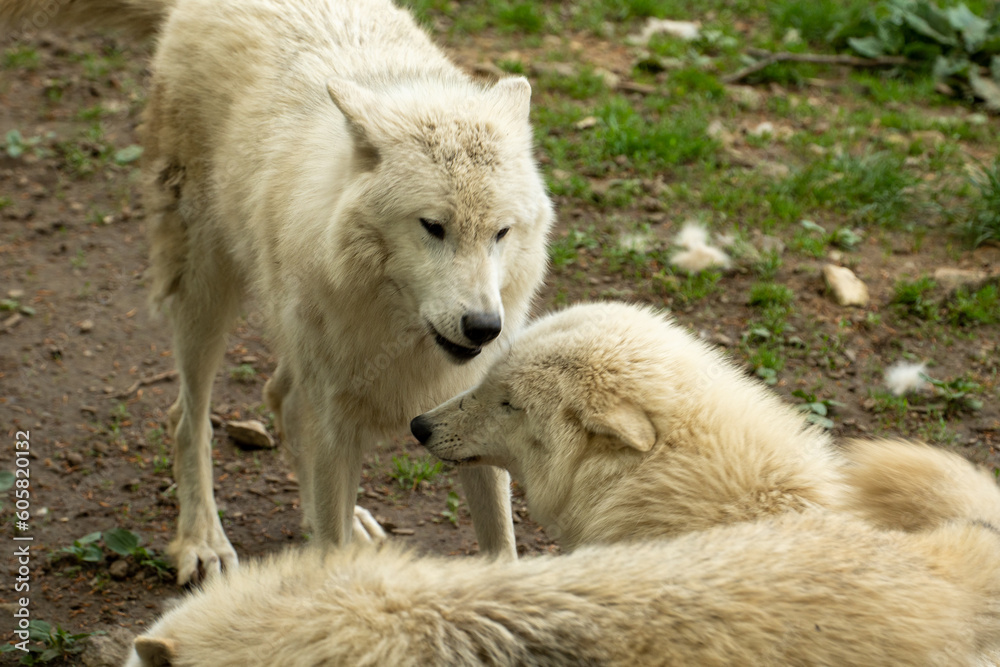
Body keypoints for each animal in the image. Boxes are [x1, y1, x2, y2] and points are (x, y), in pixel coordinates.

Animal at [0, 0, 552, 584]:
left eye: (501, 232)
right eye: (433, 227)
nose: (484, 328)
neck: (396, 335)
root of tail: (184, 9)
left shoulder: (463, 415)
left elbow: (503, 547)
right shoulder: (335, 423)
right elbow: (329, 542)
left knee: (278, 398)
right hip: (206, 295)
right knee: (187, 420)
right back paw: (204, 541)